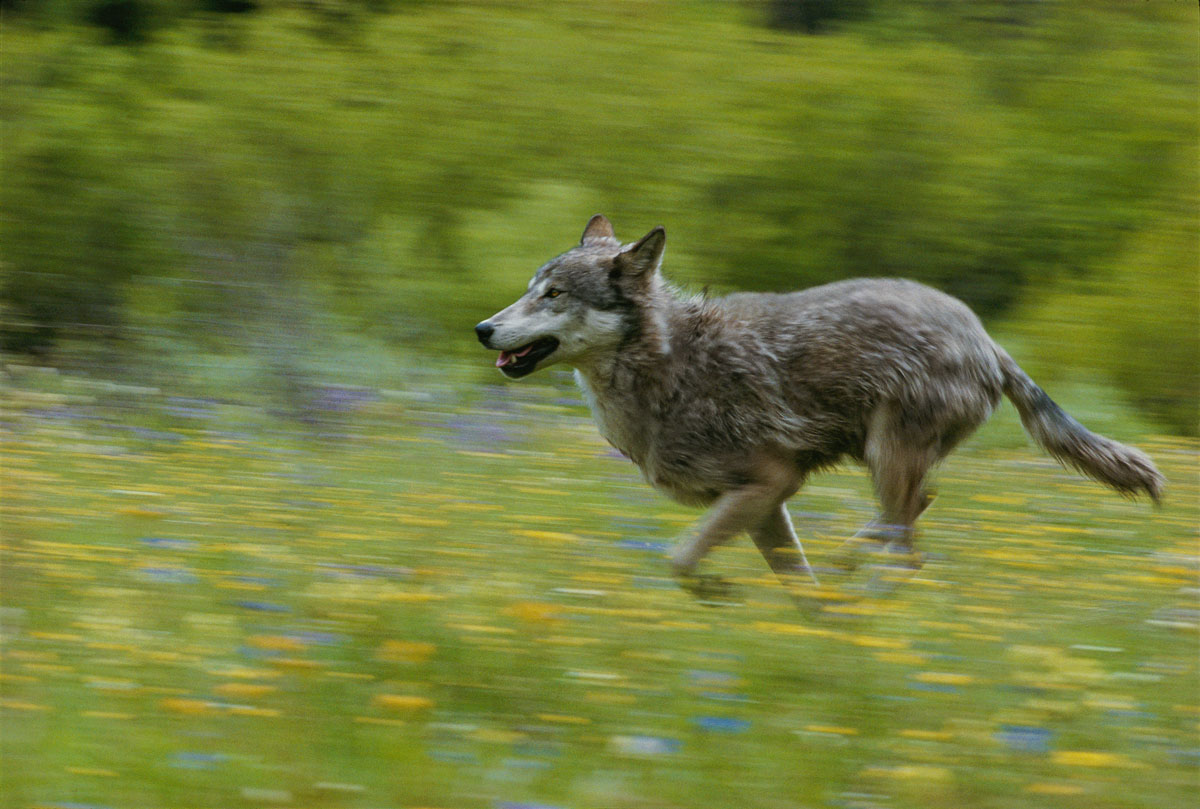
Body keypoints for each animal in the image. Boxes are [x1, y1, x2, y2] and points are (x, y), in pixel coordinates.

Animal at [472, 217, 1166, 602]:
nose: (482, 329)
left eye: (554, 295)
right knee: (914, 513)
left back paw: (869, 593)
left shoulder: (770, 485)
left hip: (886, 455)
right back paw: (852, 566)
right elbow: (793, 587)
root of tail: (986, 339)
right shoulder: (764, 506)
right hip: (884, 461)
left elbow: (678, 558)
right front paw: (821, 634)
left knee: (909, 549)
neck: (668, 365)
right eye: (530, 290)